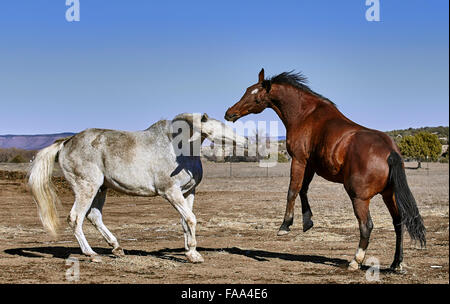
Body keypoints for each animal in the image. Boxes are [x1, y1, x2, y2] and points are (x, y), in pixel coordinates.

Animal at [28, 113, 246, 262]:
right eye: (221, 127)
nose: (245, 141)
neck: (178, 151)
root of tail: (65, 142)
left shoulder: (188, 192)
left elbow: (186, 221)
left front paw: (191, 253)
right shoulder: (170, 192)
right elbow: (191, 219)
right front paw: (193, 254)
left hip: (101, 189)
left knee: (94, 216)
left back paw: (116, 248)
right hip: (86, 187)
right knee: (75, 218)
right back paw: (91, 254)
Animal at [225, 69, 426, 270]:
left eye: (256, 97)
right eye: (247, 90)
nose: (229, 113)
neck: (305, 114)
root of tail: (390, 151)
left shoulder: (299, 160)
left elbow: (293, 190)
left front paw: (285, 225)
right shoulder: (311, 165)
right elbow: (303, 190)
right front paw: (307, 221)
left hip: (359, 198)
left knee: (366, 225)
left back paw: (355, 261)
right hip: (388, 195)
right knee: (398, 222)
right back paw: (396, 263)